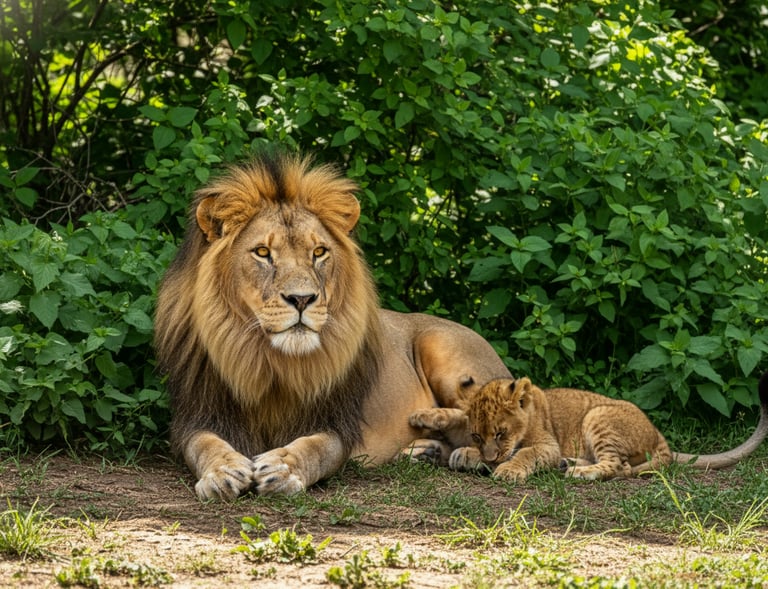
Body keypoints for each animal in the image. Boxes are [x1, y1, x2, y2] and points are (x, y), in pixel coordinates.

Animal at [153, 152, 511, 500]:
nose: (301, 299)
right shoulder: (196, 415)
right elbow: (204, 445)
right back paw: (427, 452)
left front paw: (283, 468)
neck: (271, 362)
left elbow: (315, 448)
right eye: (263, 252)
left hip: (444, 350)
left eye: (319, 252)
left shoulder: (336, 424)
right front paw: (222, 472)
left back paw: (471, 456)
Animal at [408, 373, 768, 482]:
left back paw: (578, 472)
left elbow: (523, 455)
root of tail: (659, 435)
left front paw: (505, 470)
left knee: (617, 466)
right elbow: (456, 411)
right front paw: (421, 419)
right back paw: (570, 464)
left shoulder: (548, 445)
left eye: (501, 433)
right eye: (478, 435)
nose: (490, 457)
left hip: (598, 416)